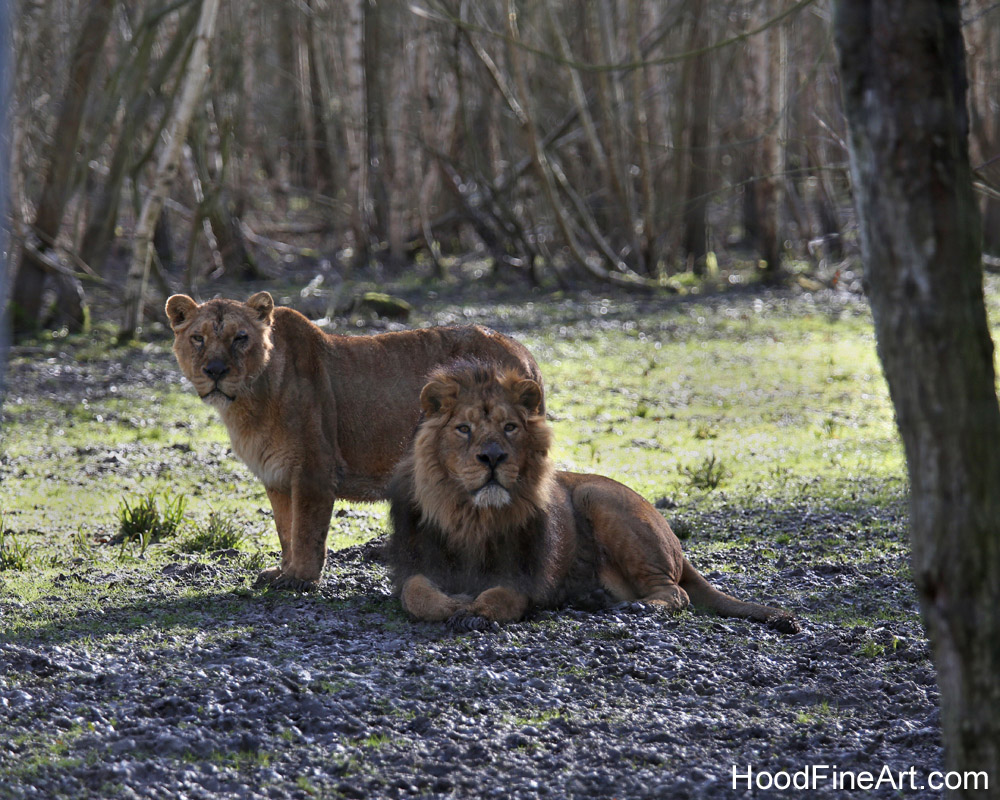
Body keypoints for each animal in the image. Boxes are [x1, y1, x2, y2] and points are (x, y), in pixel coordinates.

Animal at [165, 292, 542, 591]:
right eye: (198, 338)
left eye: (240, 337)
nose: (215, 370)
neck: (247, 401)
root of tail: (521, 349)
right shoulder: (276, 475)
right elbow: (285, 529)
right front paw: (282, 572)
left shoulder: (314, 469)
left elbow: (305, 531)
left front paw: (300, 578)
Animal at [387, 361, 799, 633]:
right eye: (463, 429)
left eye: (510, 427)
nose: (492, 457)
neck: (472, 515)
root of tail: (677, 543)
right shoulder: (417, 563)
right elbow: (416, 595)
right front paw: (453, 603)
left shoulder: (526, 575)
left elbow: (502, 596)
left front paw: (475, 611)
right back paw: (593, 599)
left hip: (597, 496)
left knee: (677, 593)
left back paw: (636, 608)